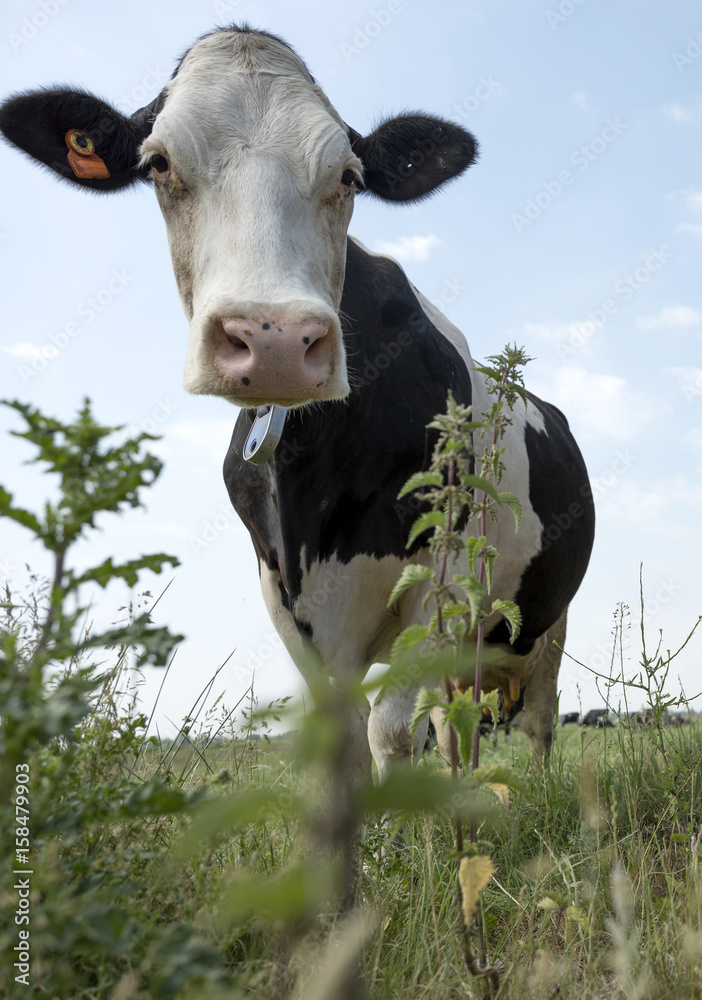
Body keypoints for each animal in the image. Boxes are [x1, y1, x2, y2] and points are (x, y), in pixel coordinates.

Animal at [0, 23, 596, 788]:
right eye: (158, 164)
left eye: (350, 175)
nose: (275, 338)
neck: (314, 486)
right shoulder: (283, 588)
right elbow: (342, 738)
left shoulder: (436, 576)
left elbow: (389, 733)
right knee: (453, 723)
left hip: (544, 618)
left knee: (539, 717)